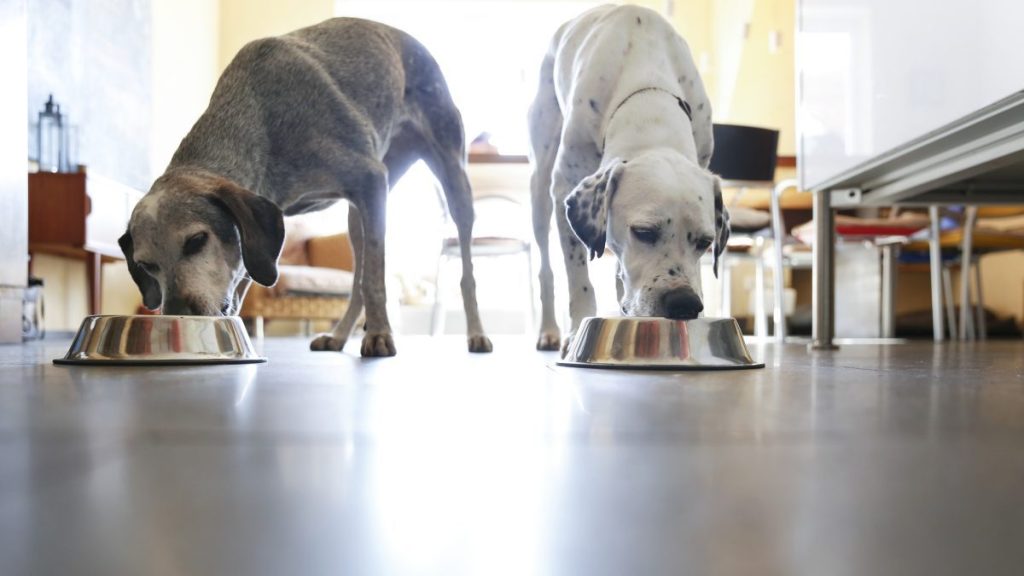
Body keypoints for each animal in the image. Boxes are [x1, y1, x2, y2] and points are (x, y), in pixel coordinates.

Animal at [528, 4, 729, 350]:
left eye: (705, 242)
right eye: (644, 232)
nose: (684, 304)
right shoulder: (565, 187)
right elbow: (578, 277)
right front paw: (577, 329)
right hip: (541, 186)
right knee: (545, 268)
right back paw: (549, 330)